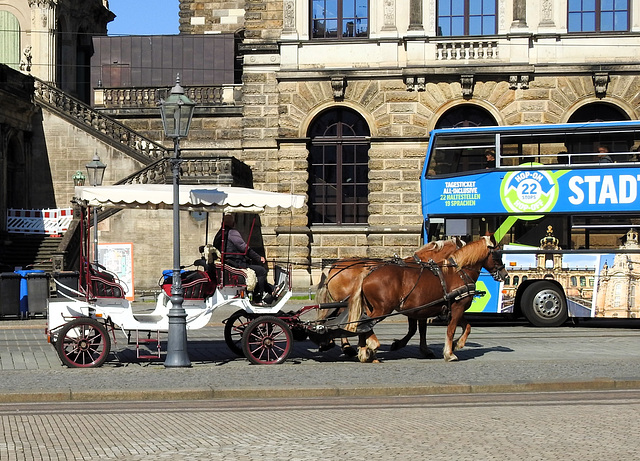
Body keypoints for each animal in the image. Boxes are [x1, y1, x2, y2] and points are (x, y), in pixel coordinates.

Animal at [316, 239, 464, 354]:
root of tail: (334, 265)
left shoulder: (417, 306)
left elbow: (418, 328)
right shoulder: (420, 306)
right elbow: (418, 328)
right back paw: (345, 346)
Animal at [348, 237, 508, 362]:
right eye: (497, 254)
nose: (505, 274)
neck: (459, 272)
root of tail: (369, 274)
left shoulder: (447, 309)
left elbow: (466, 327)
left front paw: (456, 344)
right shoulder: (456, 307)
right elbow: (450, 330)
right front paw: (449, 353)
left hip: (372, 308)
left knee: (362, 325)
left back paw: (364, 350)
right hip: (383, 309)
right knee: (364, 324)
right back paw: (370, 346)